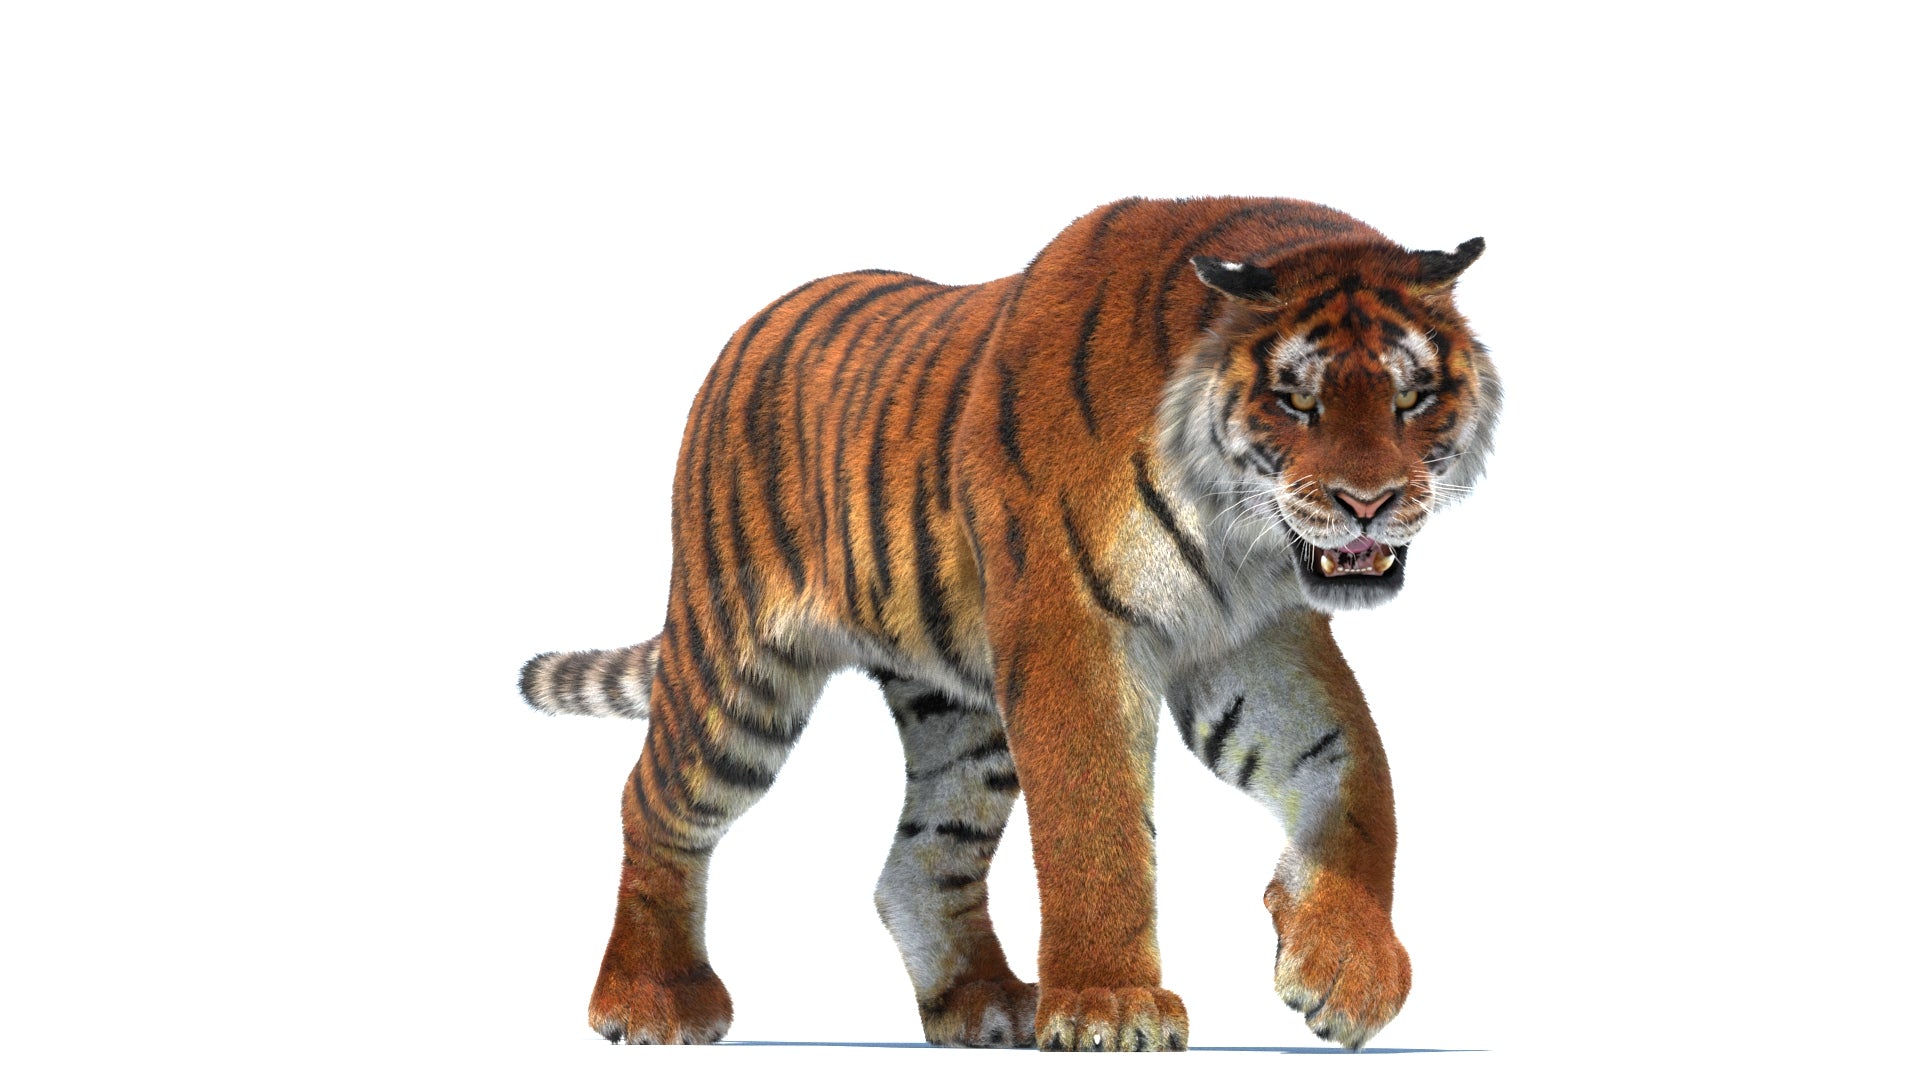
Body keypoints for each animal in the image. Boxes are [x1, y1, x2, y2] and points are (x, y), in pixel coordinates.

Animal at [519, 195, 1498, 1052]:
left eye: (1412, 399)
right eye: (1298, 402)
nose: (1370, 503)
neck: (1237, 531)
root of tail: (748, 329)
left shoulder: (1252, 642)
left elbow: (1355, 772)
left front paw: (1347, 969)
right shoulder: (1075, 633)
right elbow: (1096, 825)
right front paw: (1111, 1007)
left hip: (961, 712)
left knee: (917, 864)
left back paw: (984, 1004)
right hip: (737, 669)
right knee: (655, 801)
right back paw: (651, 1002)